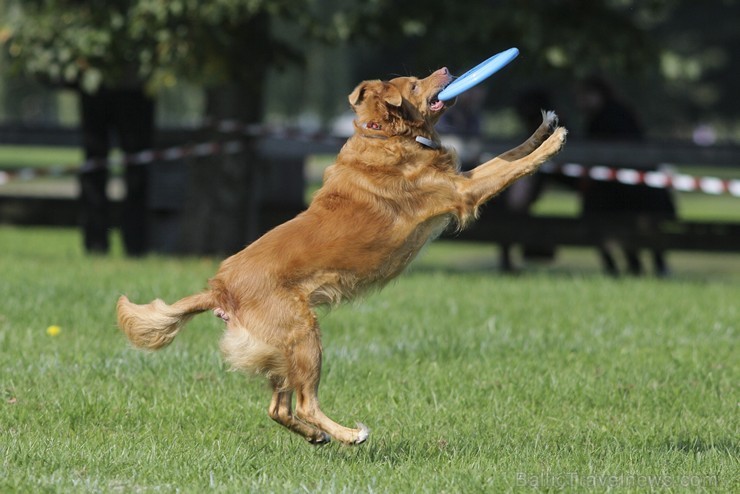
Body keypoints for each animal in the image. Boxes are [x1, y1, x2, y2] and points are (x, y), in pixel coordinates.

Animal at [118, 66, 568, 444]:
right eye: (415, 84)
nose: (447, 70)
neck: (387, 134)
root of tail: (219, 287)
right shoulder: (461, 192)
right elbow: (509, 167)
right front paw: (551, 145)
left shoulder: (460, 183)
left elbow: (505, 156)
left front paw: (544, 127)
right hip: (303, 335)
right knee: (304, 403)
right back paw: (350, 435)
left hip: (281, 348)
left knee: (278, 407)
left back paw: (318, 437)